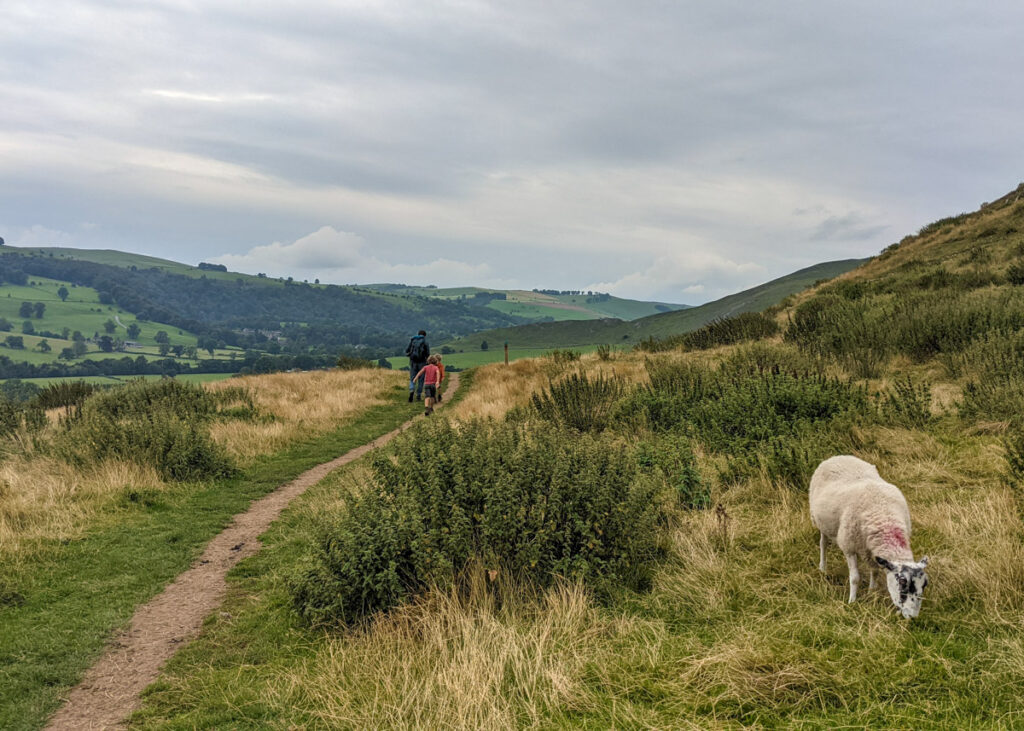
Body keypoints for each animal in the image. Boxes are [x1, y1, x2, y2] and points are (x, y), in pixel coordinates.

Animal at [811, 454, 933, 614]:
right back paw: (823, 568)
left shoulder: (873, 552)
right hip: (822, 523)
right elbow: (855, 578)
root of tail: (839, 456)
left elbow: (874, 572)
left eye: (924, 585)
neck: (885, 518)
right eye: (902, 584)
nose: (911, 614)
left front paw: (871, 591)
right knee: (823, 544)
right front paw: (852, 601)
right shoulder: (849, 546)